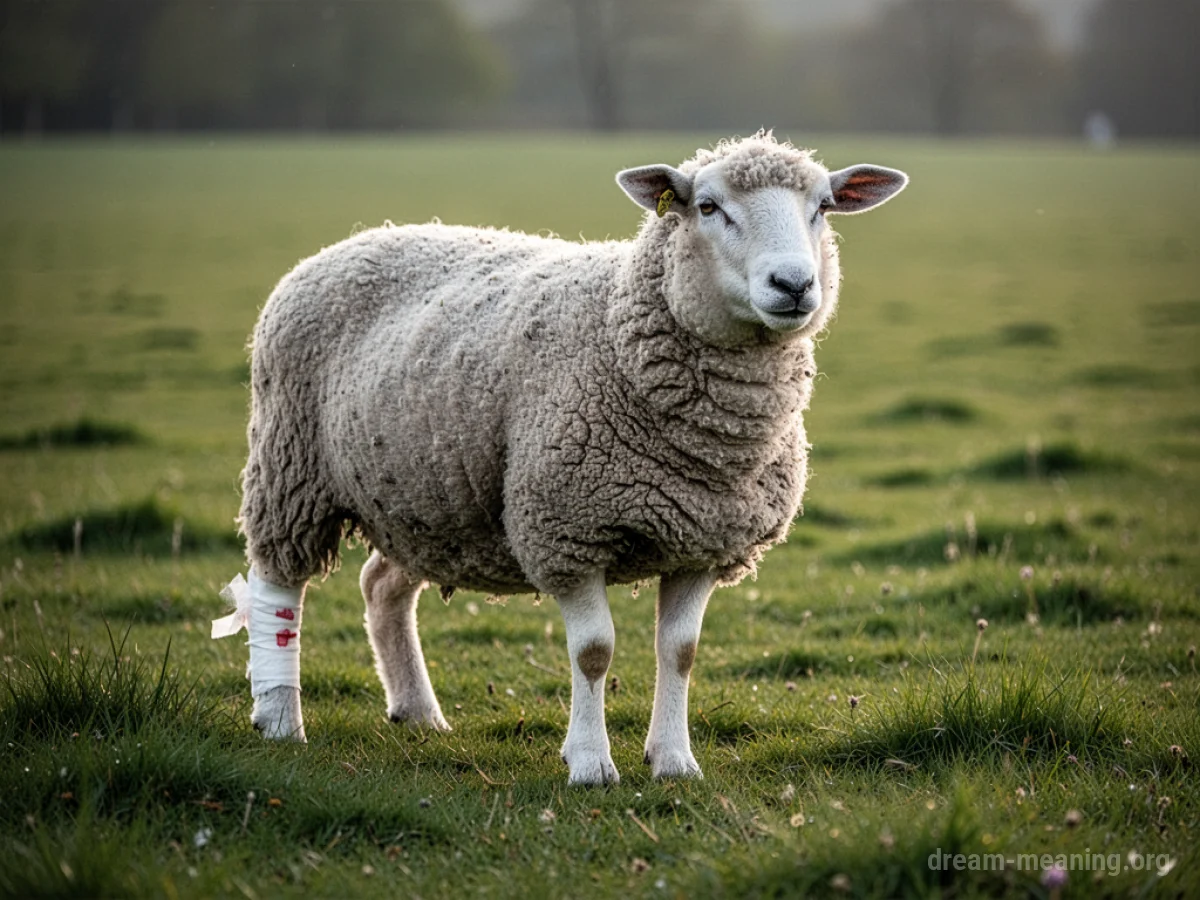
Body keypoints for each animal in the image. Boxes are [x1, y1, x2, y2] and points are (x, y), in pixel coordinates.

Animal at [221, 132, 907, 785]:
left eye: (823, 207)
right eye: (708, 207)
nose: (793, 285)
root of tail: (356, 239)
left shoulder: (702, 539)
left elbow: (680, 651)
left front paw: (674, 760)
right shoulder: (567, 530)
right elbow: (594, 652)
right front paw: (590, 763)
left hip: (426, 497)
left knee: (382, 587)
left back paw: (417, 712)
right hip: (291, 466)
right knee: (279, 586)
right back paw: (279, 717)